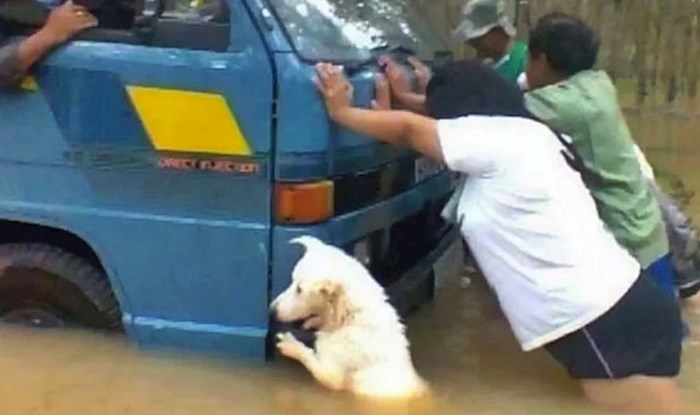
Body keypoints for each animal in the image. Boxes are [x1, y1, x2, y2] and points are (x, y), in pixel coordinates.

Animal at [270, 236, 430, 398]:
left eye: (299, 289)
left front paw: (291, 345)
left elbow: (309, 359)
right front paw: (313, 322)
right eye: (292, 281)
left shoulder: (331, 374)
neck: (352, 318)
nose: (272, 310)